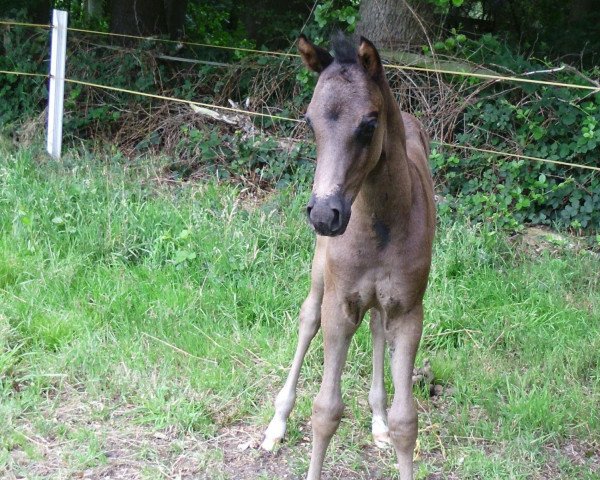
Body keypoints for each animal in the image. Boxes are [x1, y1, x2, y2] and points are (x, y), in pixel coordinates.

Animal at [262, 34, 436, 480]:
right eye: (309, 122)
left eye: (369, 124)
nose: (325, 213)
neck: (380, 223)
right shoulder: (339, 304)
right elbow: (325, 411)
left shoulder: (408, 311)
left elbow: (406, 421)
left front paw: (388, 425)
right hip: (319, 274)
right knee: (307, 320)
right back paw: (276, 424)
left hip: (380, 302)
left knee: (375, 328)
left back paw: (377, 423)